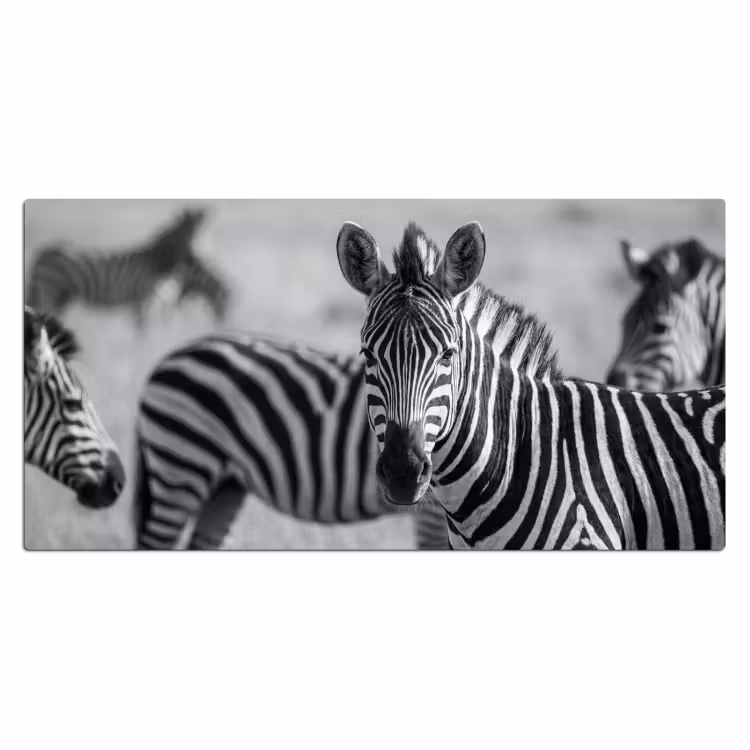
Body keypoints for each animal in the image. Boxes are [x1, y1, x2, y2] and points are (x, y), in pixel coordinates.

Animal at [25, 207, 220, 327]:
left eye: (204, 240)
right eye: (198, 241)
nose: (205, 263)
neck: (155, 262)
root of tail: (43, 251)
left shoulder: (146, 304)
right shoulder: (142, 301)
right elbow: (143, 336)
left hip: (62, 296)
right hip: (49, 291)